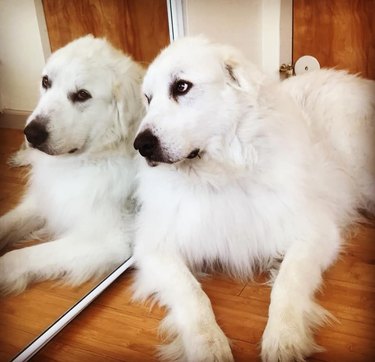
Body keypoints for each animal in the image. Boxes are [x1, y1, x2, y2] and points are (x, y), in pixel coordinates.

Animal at [0, 34, 144, 294]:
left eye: (82, 95)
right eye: (46, 82)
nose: (32, 133)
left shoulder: (106, 240)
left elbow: (17, 257)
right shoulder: (46, 201)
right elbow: (6, 223)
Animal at [132, 37, 375, 362]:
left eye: (181, 86)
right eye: (148, 98)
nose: (141, 145)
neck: (223, 175)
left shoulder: (316, 234)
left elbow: (287, 283)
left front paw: (284, 339)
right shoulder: (155, 248)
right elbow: (191, 293)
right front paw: (208, 345)